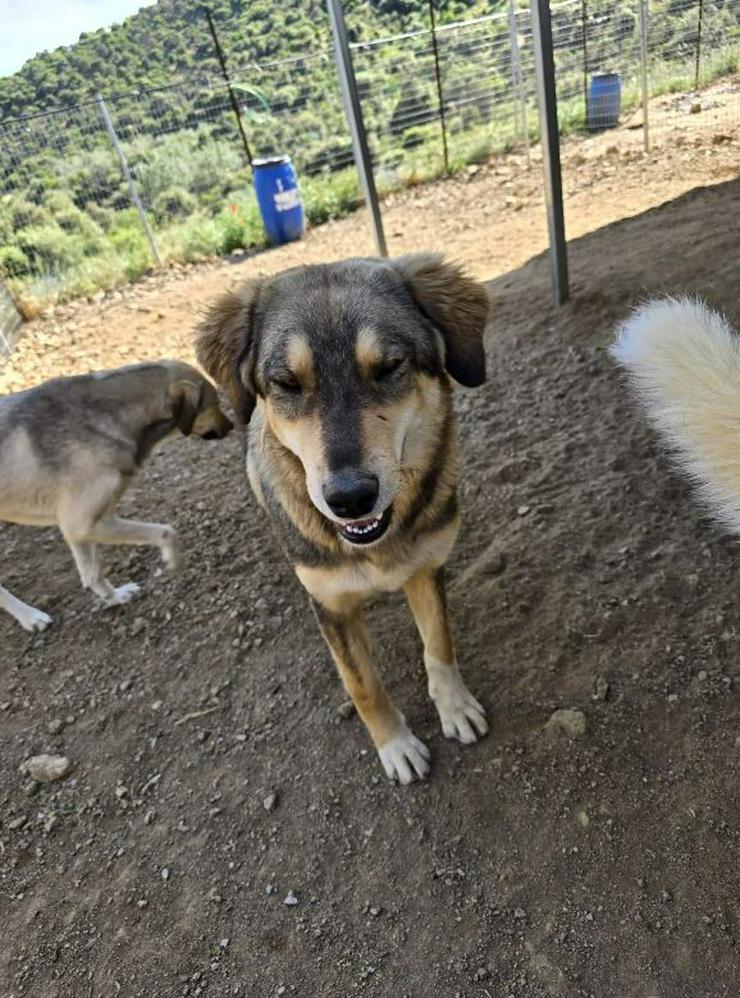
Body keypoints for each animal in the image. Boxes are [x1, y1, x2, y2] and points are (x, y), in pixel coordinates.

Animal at [197, 258, 492, 788]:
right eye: (287, 384)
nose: (350, 498)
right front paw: (396, 745)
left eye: (389, 367)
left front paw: (455, 707)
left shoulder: (427, 568)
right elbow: (364, 684)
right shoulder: (329, 603)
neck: (374, 546)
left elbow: (439, 644)